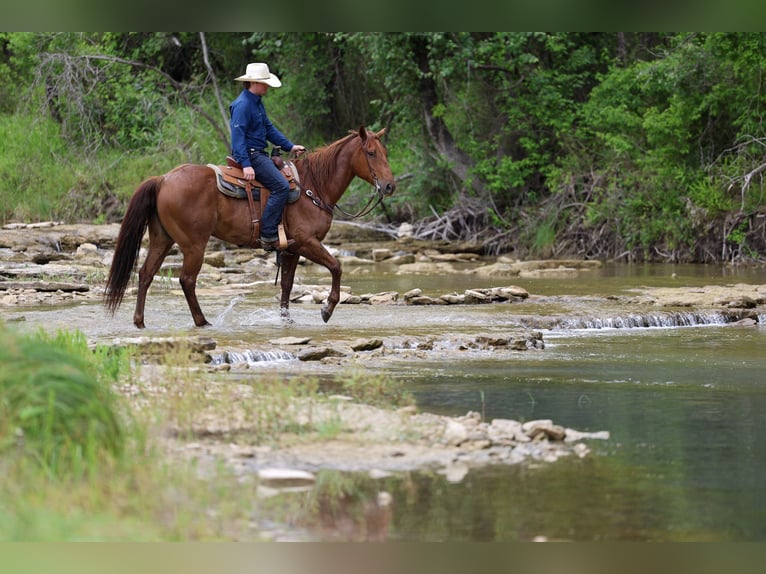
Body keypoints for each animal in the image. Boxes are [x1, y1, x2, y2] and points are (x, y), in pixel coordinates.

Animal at [103, 126, 395, 328]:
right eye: (371, 153)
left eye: (386, 153)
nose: (390, 186)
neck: (314, 186)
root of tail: (163, 179)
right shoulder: (306, 242)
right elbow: (336, 266)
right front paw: (327, 310)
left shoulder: (291, 249)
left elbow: (287, 285)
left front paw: (286, 320)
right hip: (193, 244)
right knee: (187, 280)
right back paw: (202, 321)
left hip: (162, 239)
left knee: (145, 274)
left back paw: (140, 321)